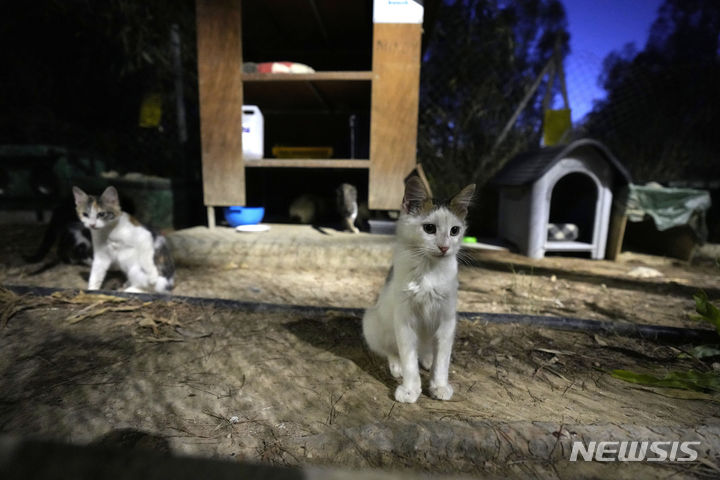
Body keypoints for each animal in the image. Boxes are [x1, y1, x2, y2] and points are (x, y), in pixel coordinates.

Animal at [362, 175, 476, 402]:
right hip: (372, 322)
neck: (429, 270)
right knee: (389, 350)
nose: (444, 247)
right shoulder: (404, 320)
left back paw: (427, 359)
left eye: (455, 231)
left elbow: (442, 360)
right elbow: (408, 359)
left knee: (427, 351)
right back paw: (396, 365)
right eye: (429, 228)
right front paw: (410, 389)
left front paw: (439, 385)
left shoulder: (447, 319)